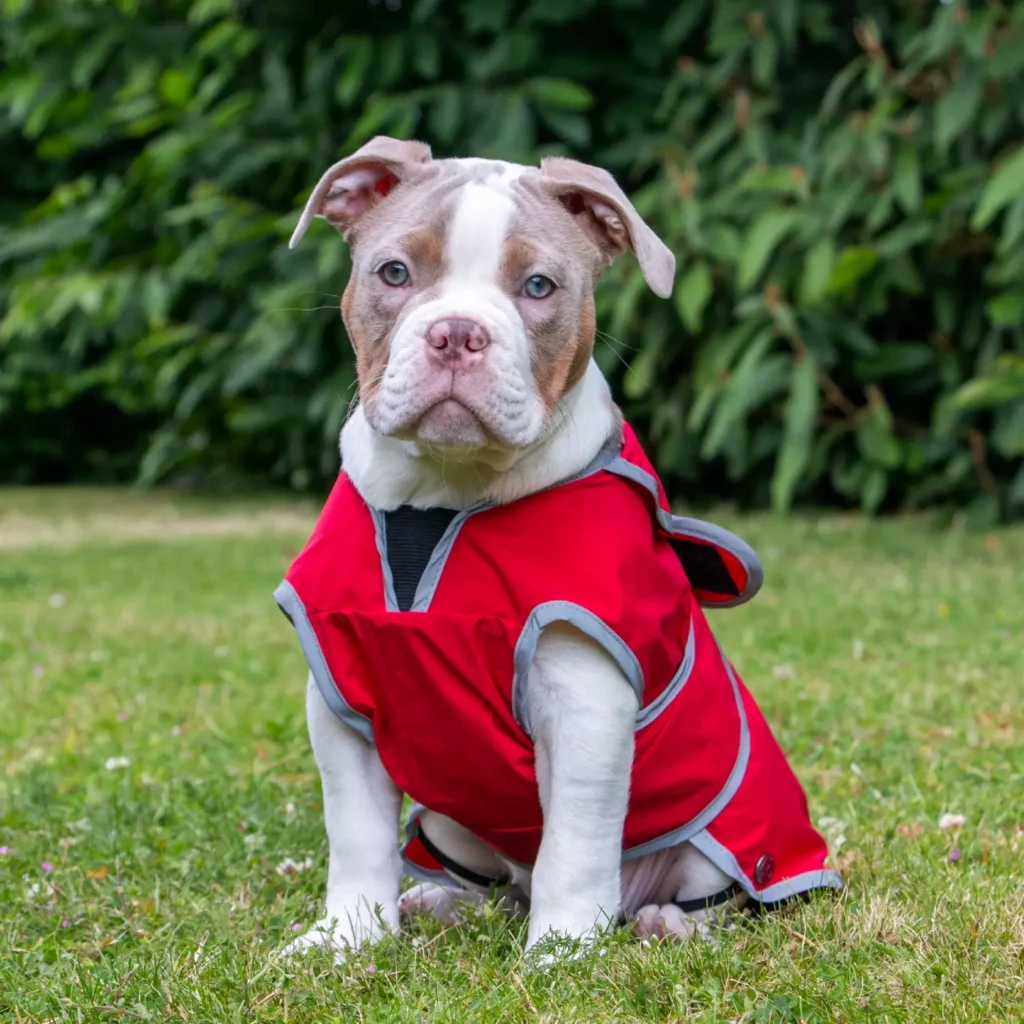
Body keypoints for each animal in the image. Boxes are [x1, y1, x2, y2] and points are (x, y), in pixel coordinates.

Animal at [274, 136, 839, 958]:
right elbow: (356, 834)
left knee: (706, 888)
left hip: (726, 828)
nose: (456, 334)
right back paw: (442, 904)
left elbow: (575, 842)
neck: (442, 497)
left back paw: (663, 922)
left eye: (538, 286)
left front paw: (562, 951)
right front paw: (348, 935)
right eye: (394, 273)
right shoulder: (341, 697)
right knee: (496, 883)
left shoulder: (587, 701)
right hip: (451, 818)